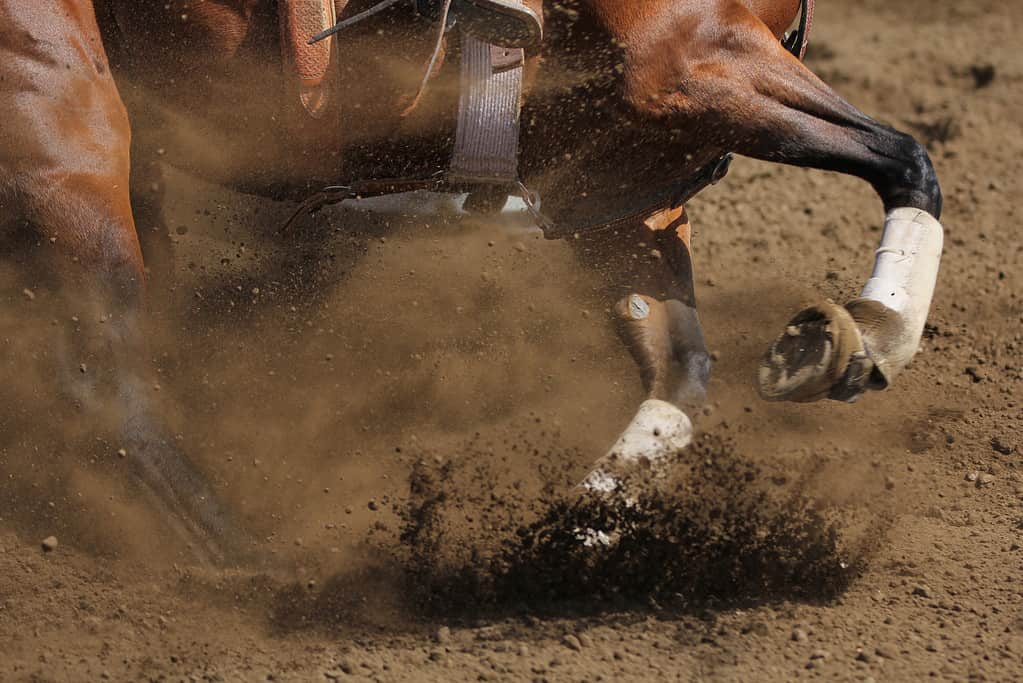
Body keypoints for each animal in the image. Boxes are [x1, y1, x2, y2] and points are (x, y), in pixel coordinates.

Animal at [0, 1, 941, 560]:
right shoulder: (691, 63)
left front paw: (572, 538)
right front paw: (871, 332)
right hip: (61, 117)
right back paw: (251, 561)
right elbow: (905, 156)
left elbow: (682, 368)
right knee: (101, 380)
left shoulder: (621, 177)